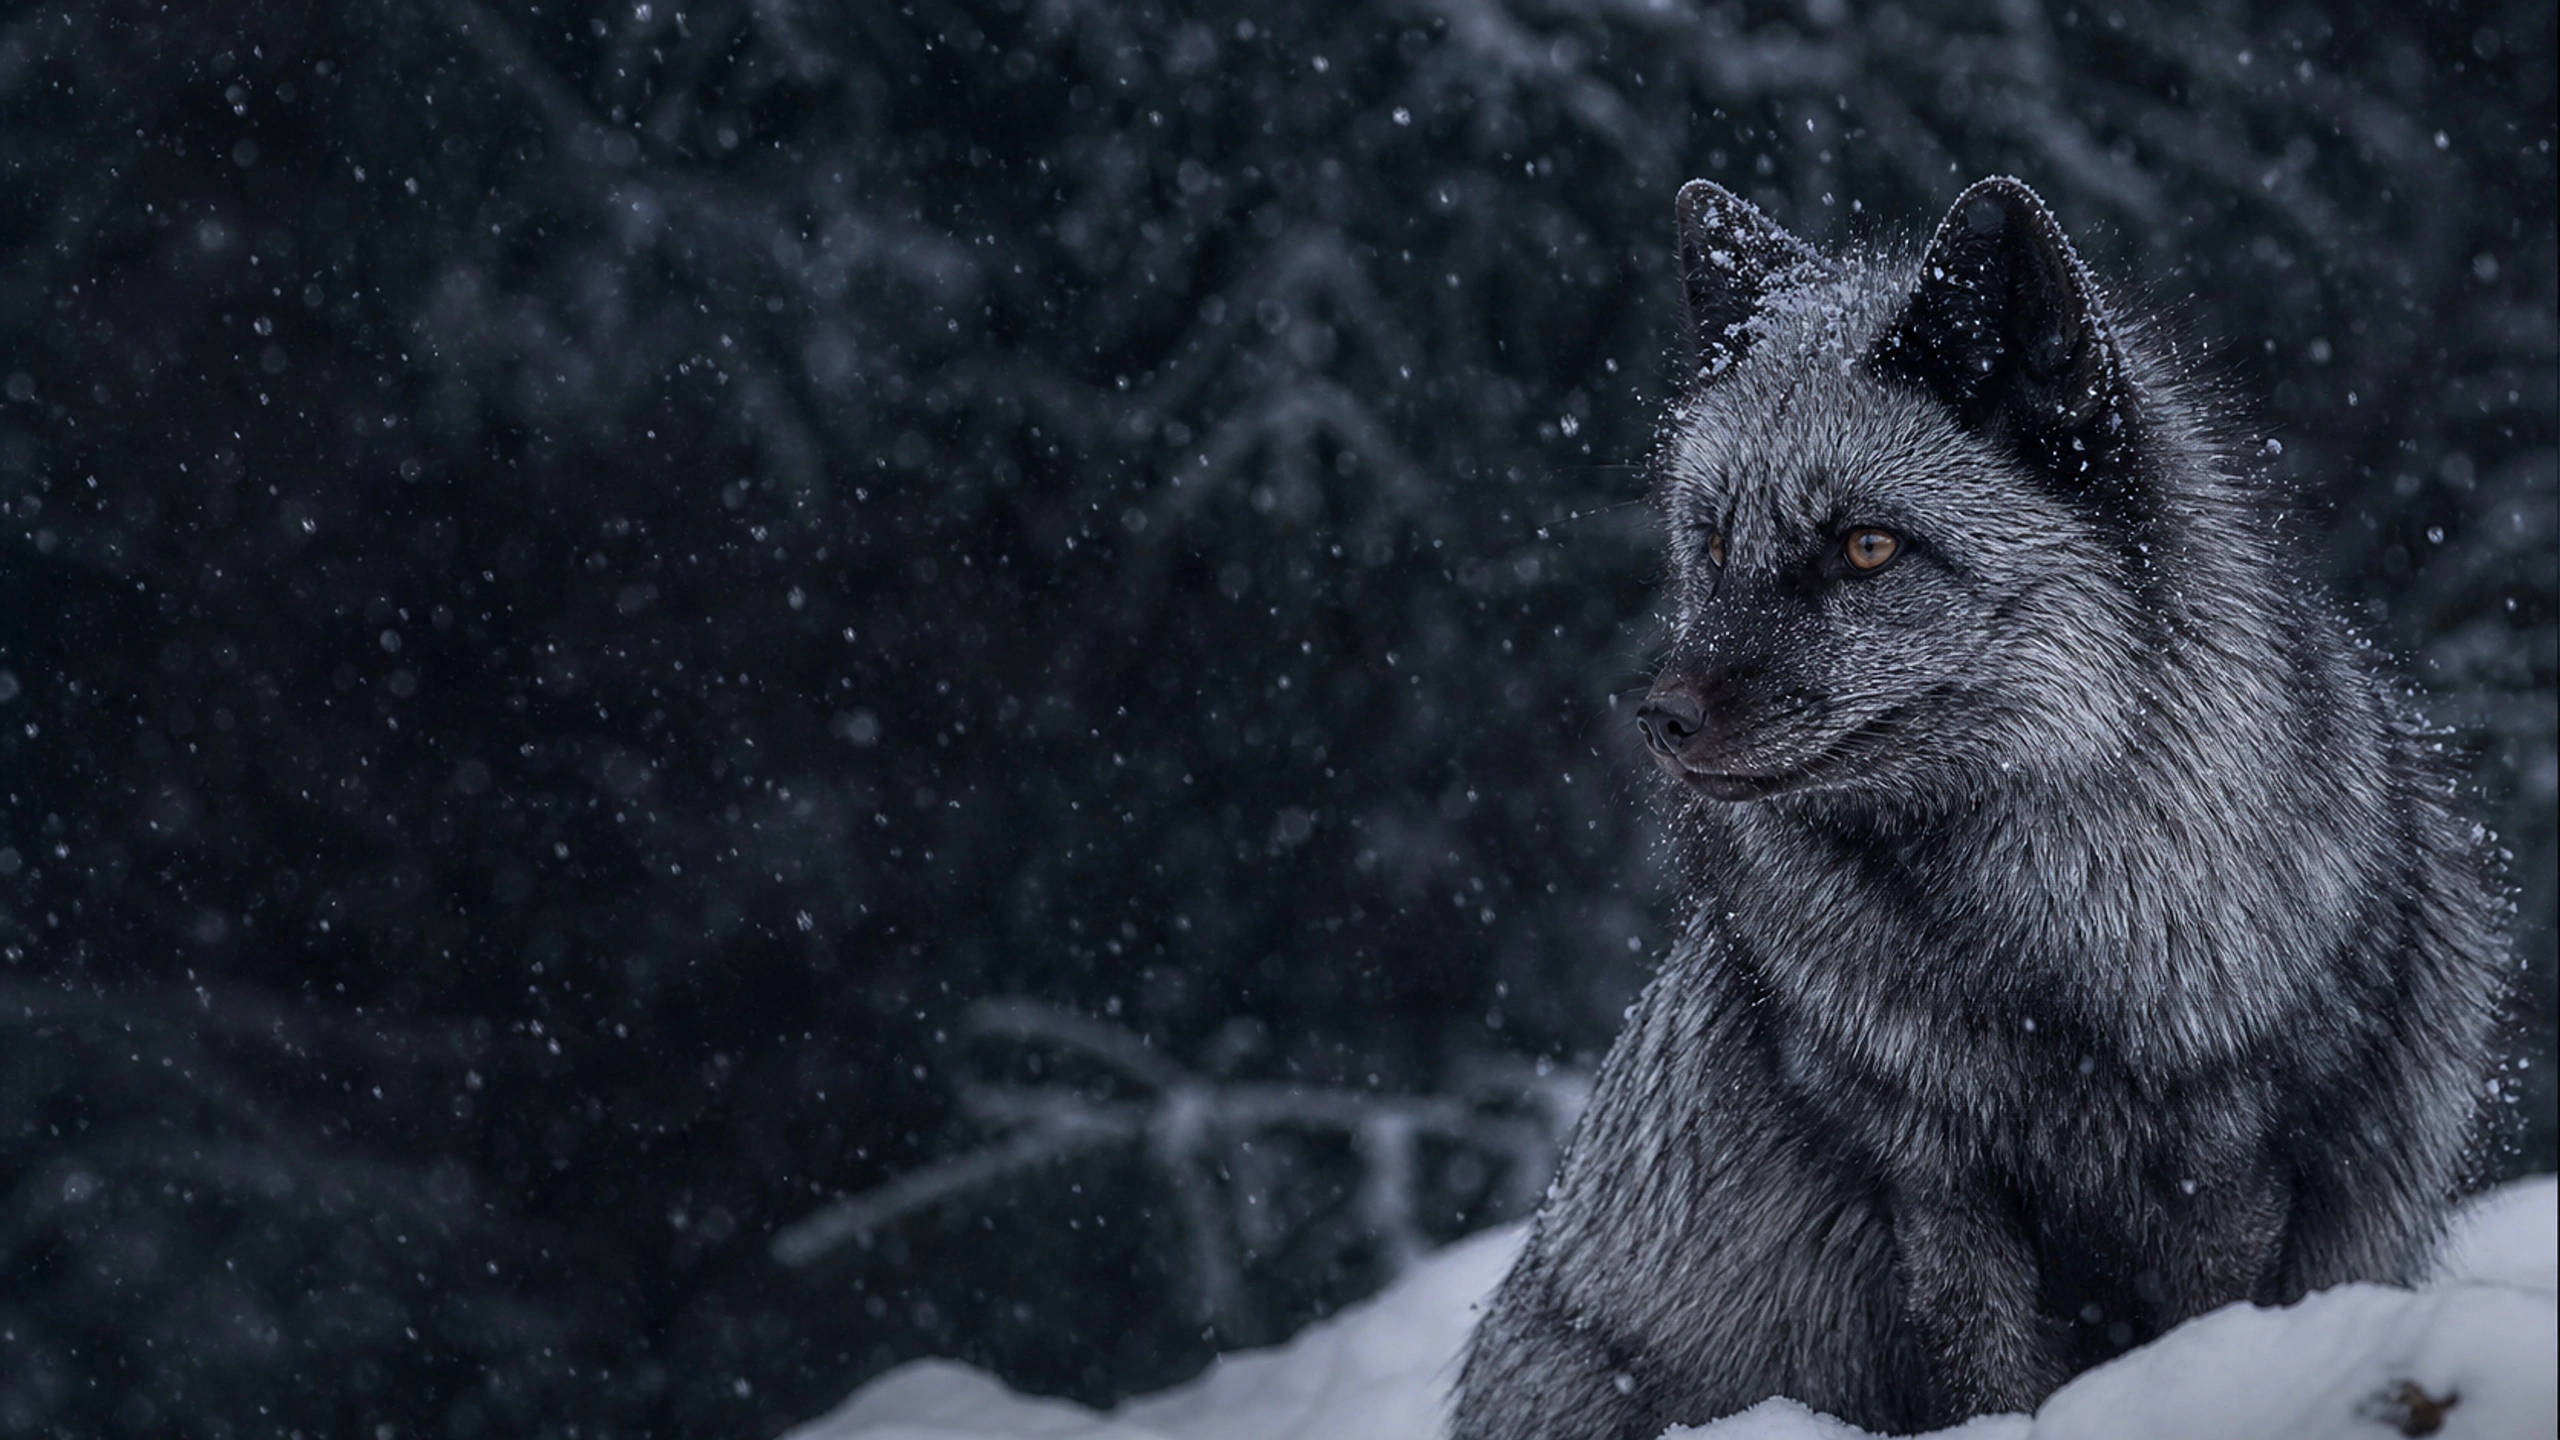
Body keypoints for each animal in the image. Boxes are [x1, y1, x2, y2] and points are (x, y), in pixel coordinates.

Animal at [1449, 177, 2509, 1437]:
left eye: (1865, 547)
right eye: (1709, 542)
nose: (1659, 719)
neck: (2042, 966)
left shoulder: (2230, 1172)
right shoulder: (1936, 1186)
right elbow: (1985, 1378)